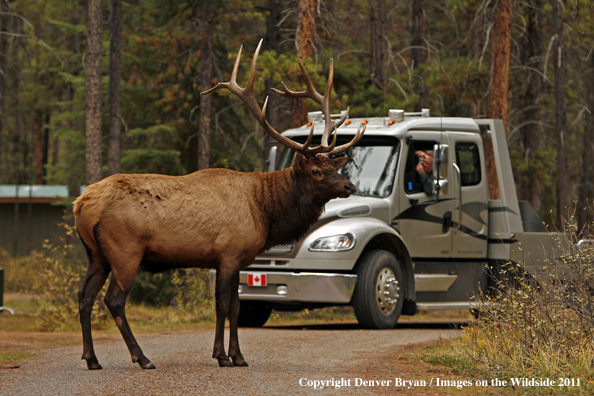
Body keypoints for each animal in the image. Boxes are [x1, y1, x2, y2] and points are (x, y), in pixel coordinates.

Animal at [73, 38, 360, 370]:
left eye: (332, 166)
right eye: (316, 170)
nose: (349, 186)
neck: (264, 210)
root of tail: (81, 205)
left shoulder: (235, 259)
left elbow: (234, 306)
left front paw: (237, 355)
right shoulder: (229, 253)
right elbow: (223, 305)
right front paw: (223, 356)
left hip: (95, 254)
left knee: (84, 296)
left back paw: (92, 358)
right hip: (125, 250)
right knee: (114, 300)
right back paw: (141, 358)